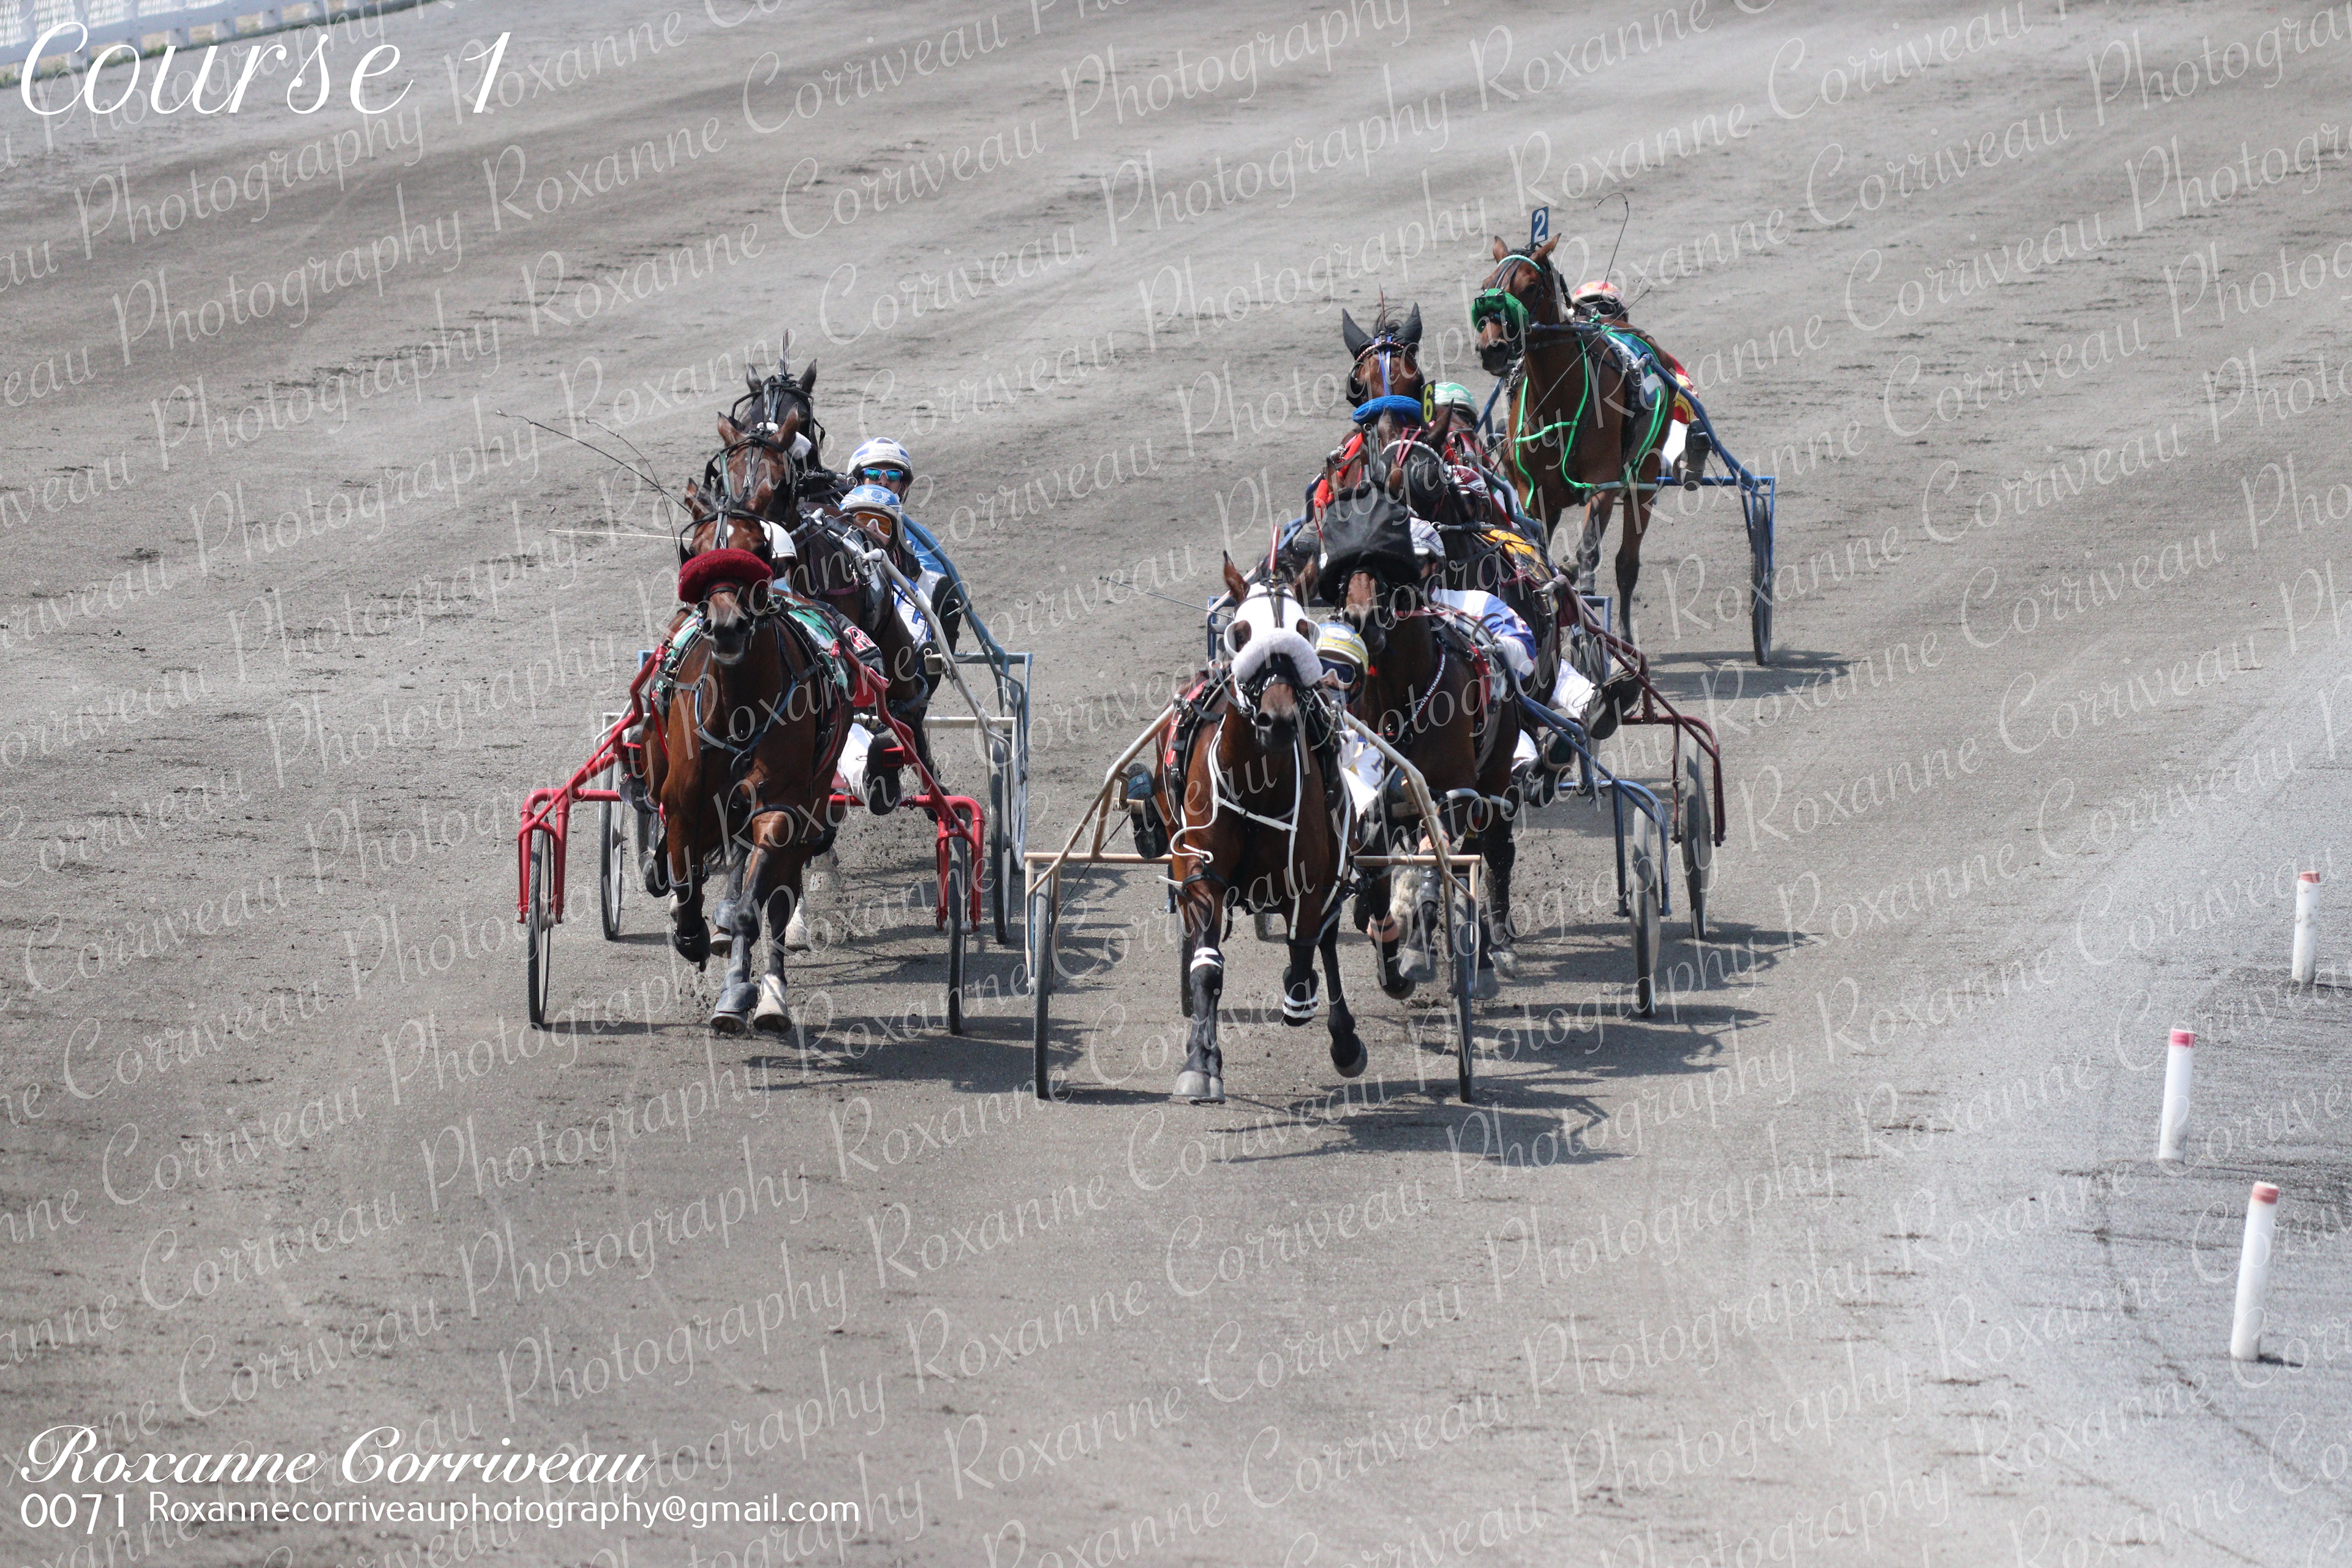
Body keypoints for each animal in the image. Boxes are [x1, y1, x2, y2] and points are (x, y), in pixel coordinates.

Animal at [642, 548, 853, 1033]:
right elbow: (685, 882)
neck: (738, 709)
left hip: (811, 805)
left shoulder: (781, 808)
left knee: (776, 901)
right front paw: (691, 934)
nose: (727, 626)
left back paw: (765, 998)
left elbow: (749, 911)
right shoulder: (686, 806)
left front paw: (742, 988)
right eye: (704, 587)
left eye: (751, 574)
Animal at [1153, 556, 1362, 1104]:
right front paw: (1201, 1063)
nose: (1278, 719)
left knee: (1323, 940)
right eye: (1242, 633)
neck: (1255, 784)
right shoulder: (1201, 873)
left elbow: (1306, 950)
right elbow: (1207, 966)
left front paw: (1310, 1003)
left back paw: (1344, 1038)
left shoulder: (1310, 878)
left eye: (1304, 630)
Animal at [1473, 235, 1671, 643]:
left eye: (1531, 286)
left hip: (1644, 476)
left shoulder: (1603, 486)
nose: (1492, 348)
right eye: (1488, 285)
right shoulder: (1533, 495)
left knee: (1627, 563)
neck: (1558, 401)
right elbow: (1536, 553)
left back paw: (1624, 634)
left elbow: (1588, 554)